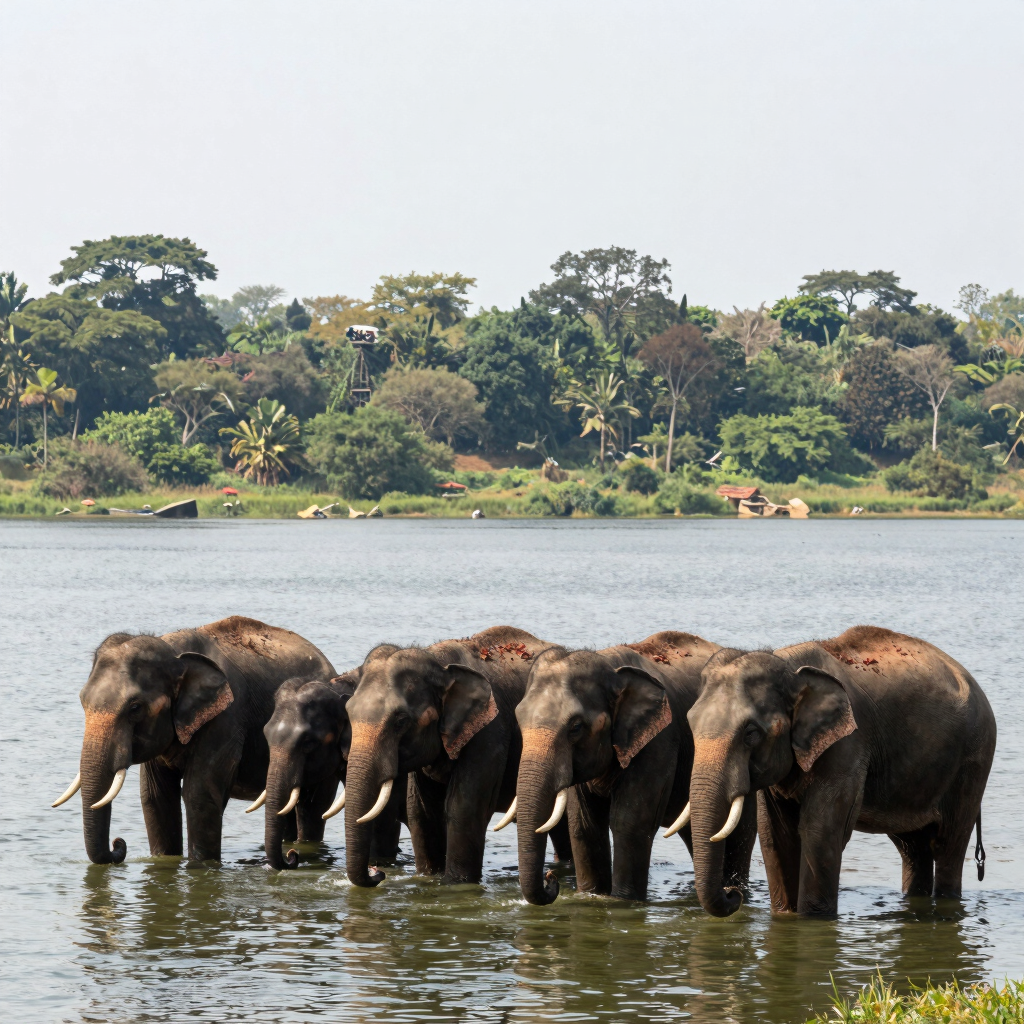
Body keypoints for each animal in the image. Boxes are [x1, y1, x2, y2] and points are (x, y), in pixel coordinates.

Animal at [52, 616, 336, 865]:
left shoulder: (226, 718)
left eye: (135, 708)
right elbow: (155, 797)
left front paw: (200, 866)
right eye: (82, 701)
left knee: (312, 810)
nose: (118, 844)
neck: (174, 653)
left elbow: (199, 795)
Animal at [342, 626, 572, 888]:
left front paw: (455, 883)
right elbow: (421, 810)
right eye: (348, 713)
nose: (378, 872)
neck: (440, 663)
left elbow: (464, 807)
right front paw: (428, 877)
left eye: (400, 721)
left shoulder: (490, 731)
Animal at [512, 631, 757, 905]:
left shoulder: (659, 740)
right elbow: (584, 824)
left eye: (575, 727)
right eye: (518, 720)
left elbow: (629, 822)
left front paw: (623, 902)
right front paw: (591, 895)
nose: (551, 878)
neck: (612, 669)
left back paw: (735, 892)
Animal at [684, 625, 996, 917]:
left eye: (750, 733)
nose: (733, 892)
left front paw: (813, 919)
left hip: (974, 760)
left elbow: (820, 830)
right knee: (913, 848)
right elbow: (776, 834)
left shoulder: (848, 743)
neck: (789, 667)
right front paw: (785, 915)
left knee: (949, 844)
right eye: (690, 723)